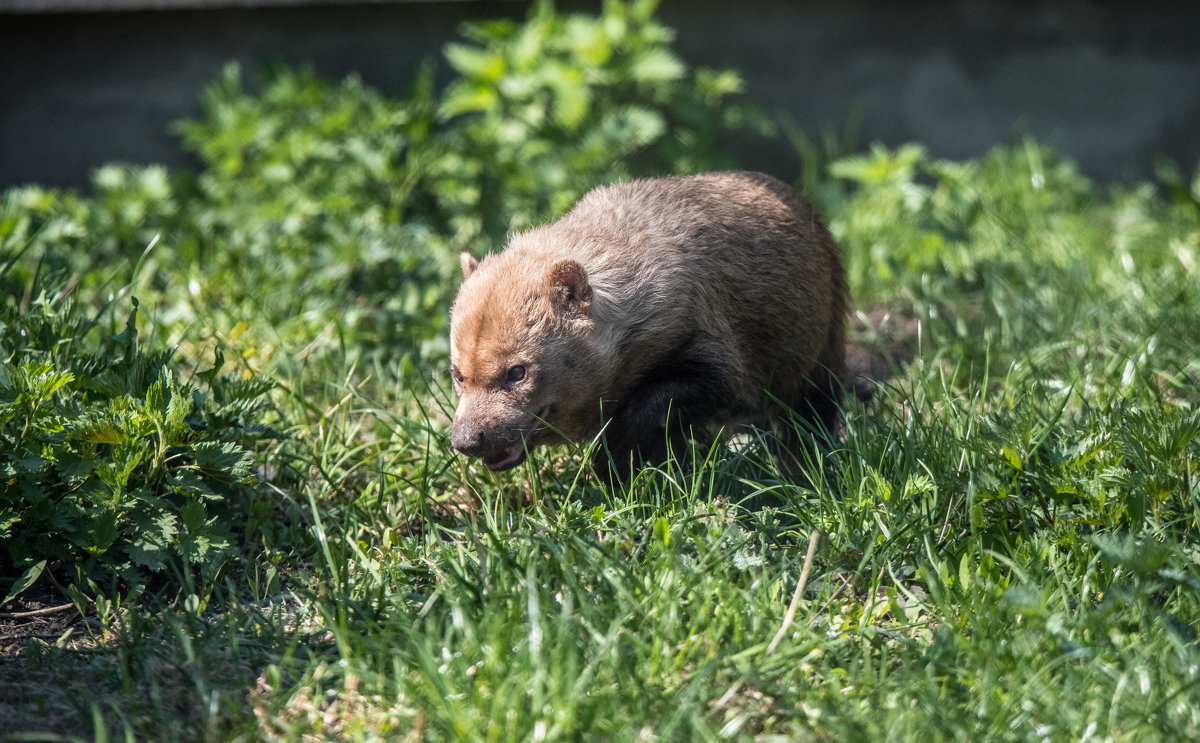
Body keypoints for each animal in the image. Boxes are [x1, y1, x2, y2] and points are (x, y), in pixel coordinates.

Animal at [446, 170, 849, 482]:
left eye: (517, 372)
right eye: (458, 373)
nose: (468, 439)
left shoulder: (712, 344)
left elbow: (665, 400)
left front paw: (613, 461)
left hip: (823, 340)